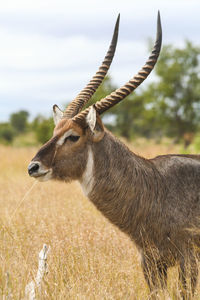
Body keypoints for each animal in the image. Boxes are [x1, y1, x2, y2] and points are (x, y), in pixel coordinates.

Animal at [28, 13, 200, 298]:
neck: (156, 186)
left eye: (73, 136)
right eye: (55, 131)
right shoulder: (150, 262)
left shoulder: (189, 259)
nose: (33, 166)